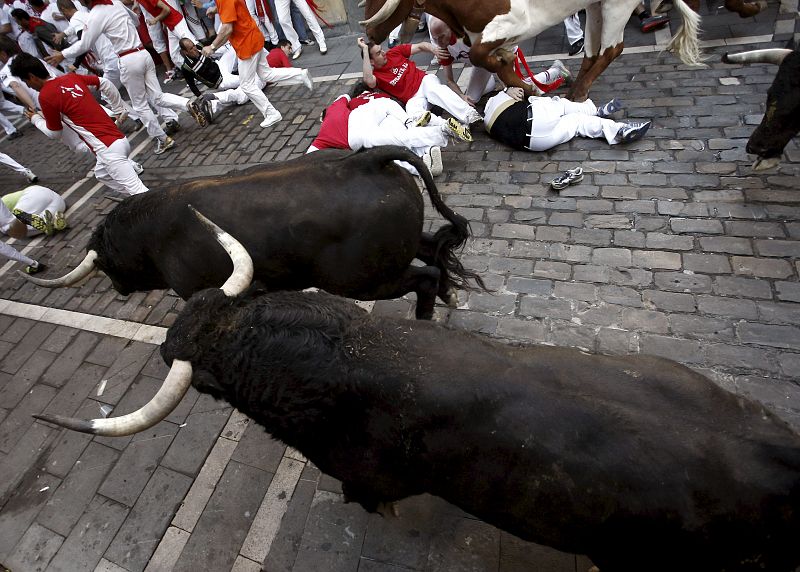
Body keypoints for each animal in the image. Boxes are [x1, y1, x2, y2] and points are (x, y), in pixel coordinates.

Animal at [26, 145, 482, 320]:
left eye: (106, 265)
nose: (117, 288)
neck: (153, 233)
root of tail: (369, 158)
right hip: (399, 250)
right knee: (435, 253)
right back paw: (450, 297)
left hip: (364, 279)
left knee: (427, 276)